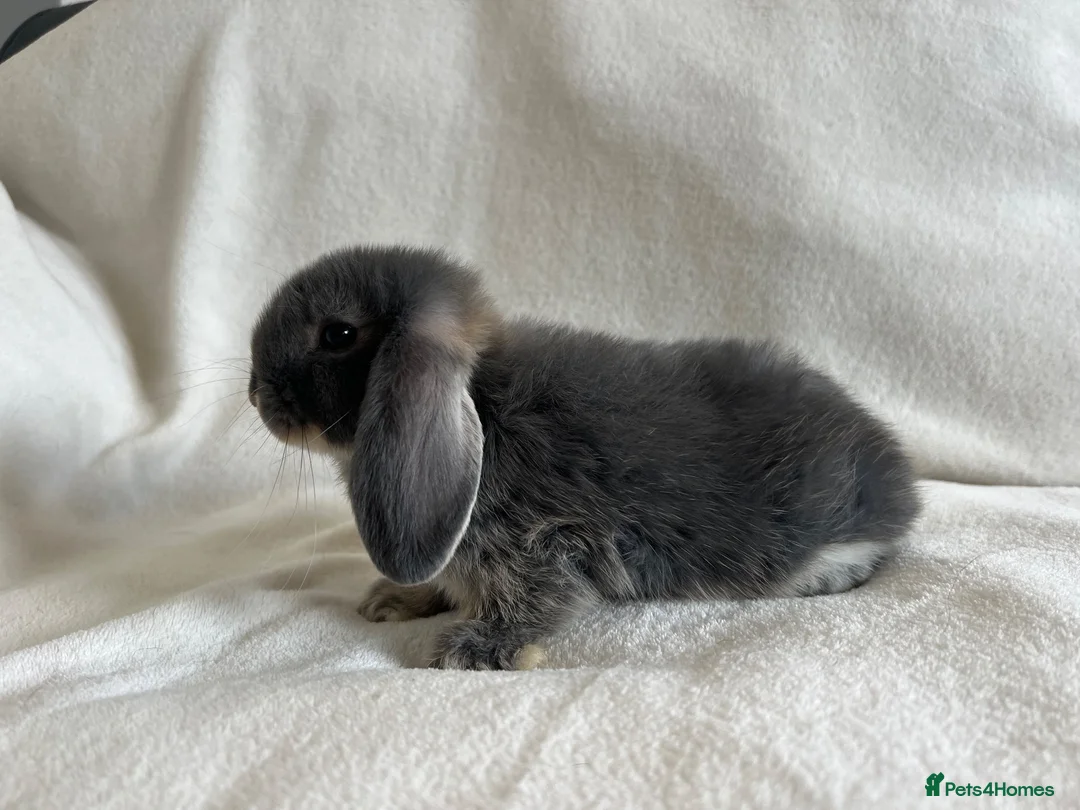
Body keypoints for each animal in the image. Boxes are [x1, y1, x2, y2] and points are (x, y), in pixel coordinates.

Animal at [248, 245, 921, 671]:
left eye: (337, 334)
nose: (256, 393)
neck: (484, 404)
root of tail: (900, 481)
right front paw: (396, 599)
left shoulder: (545, 542)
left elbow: (539, 599)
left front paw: (476, 649)